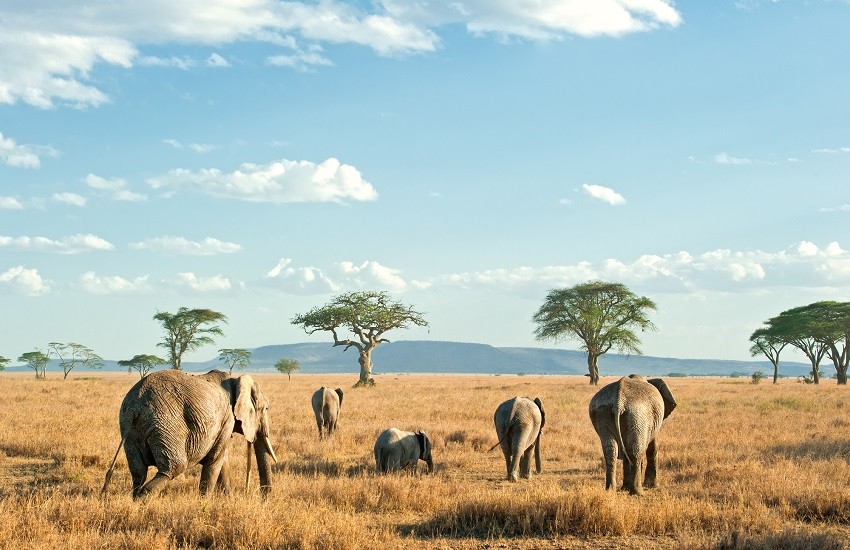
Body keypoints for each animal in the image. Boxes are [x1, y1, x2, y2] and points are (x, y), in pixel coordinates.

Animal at [101, 368, 276, 502]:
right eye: (265, 408)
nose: (264, 498)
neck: (235, 379)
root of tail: (135, 405)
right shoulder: (227, 418)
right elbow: (215, 459)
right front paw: (204, 503)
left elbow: (221, 460)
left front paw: (228, 500)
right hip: (166, 424)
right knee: (173, 467)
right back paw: (143, 501)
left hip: (130, 428)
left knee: (138, 471)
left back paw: (135, 500)